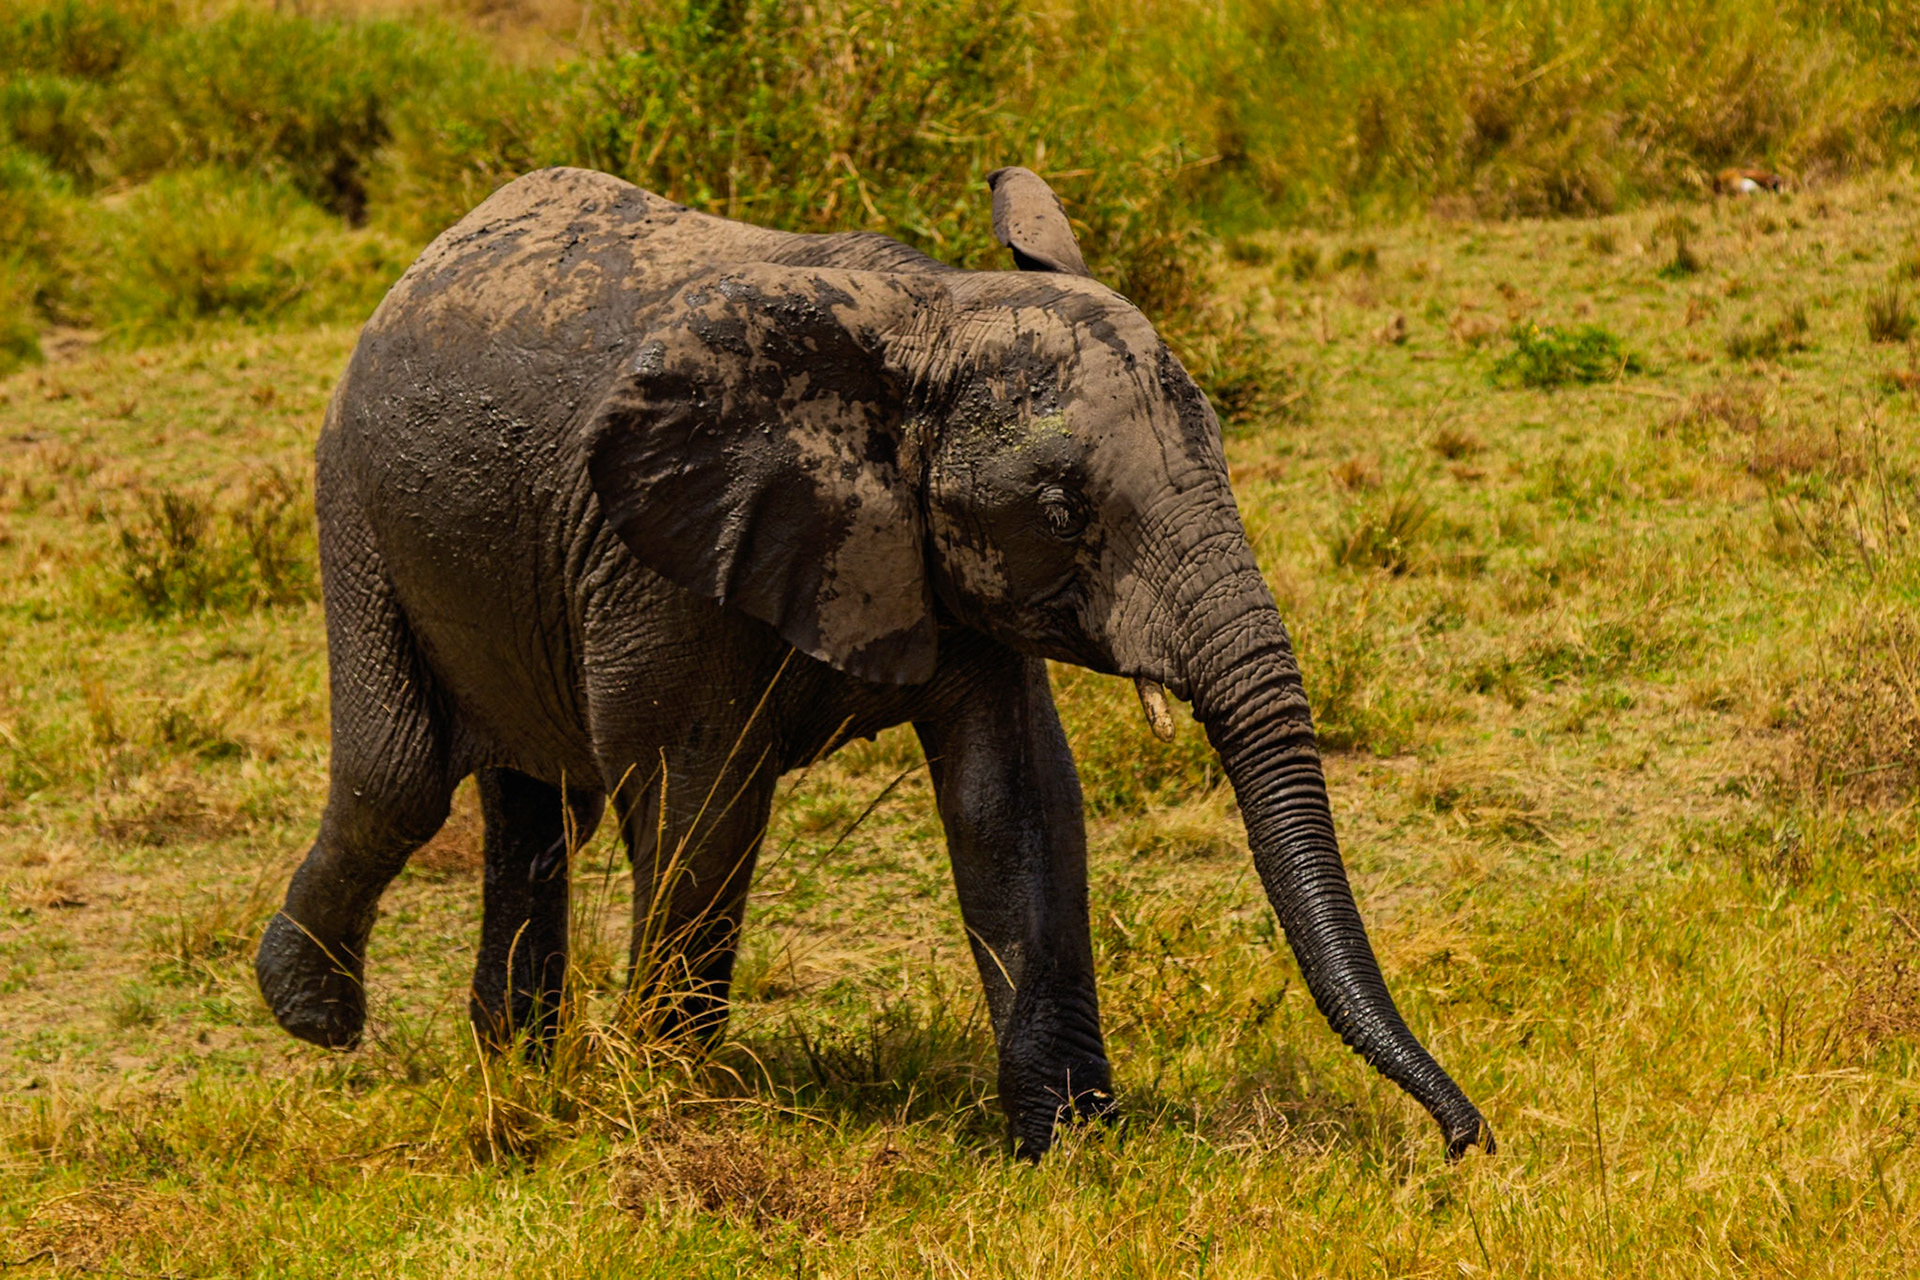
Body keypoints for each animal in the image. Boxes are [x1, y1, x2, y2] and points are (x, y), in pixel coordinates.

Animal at [254, 163, 1493, 1161]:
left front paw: (1071, 1147)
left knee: (533, 805)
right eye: (1064, 509)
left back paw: (510, 1064)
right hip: (353, 503)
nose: (1464, 1140)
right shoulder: (665, 554)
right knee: (402, 778)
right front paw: (667, 1110)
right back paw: (314, 1015)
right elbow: (705, 807)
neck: (933, 318)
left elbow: (1017, 803)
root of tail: (426, 256)